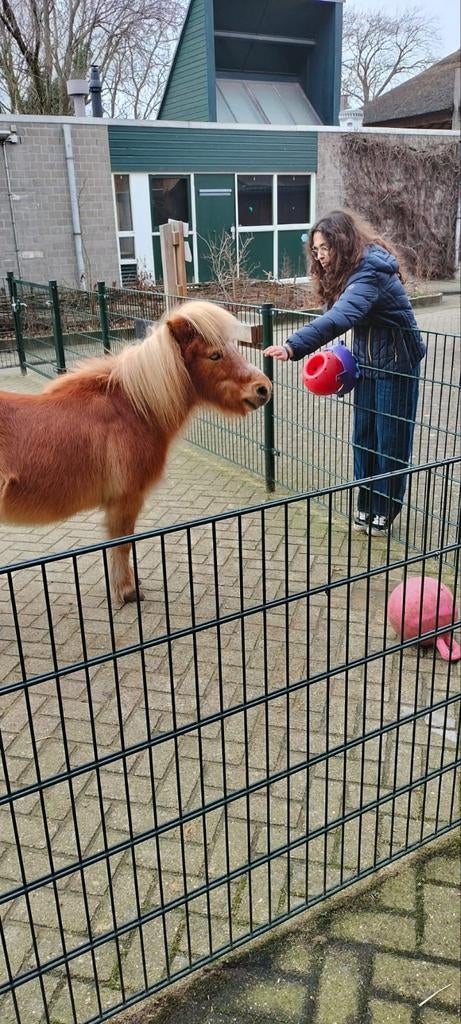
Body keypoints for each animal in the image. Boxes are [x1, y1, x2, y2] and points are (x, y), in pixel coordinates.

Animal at [0, 300, 271, 604]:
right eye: (214, 355)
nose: (263, 389)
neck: (131, 408)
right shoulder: (125, 500)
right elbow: (122, 545)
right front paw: (127, 590)